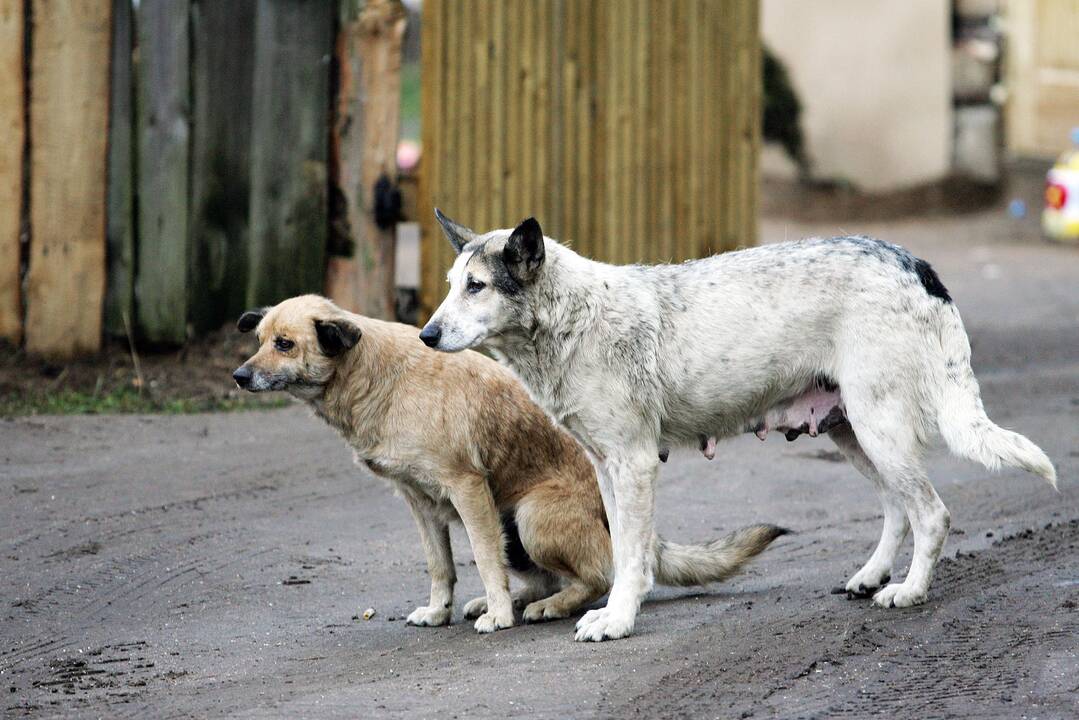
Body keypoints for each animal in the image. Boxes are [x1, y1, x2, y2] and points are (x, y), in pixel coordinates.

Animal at [231, 295, 785, 634]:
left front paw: (497, 615)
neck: (375, 375)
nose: (238, 376)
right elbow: (441, 565)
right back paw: (521, 599)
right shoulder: (421, 504)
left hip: (530, 518)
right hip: (510, 524)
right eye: (258, 341)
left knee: (599, 577)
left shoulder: (466, 488)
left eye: (285, 344)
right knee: (546, 576)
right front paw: (441, 610)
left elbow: (483, 560)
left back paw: (542, 607)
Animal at [418, 209, 1053, 643]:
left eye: (477, 286)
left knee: (931, 514)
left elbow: (632, 557)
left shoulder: (634, 464)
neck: (572, 319)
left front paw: (618, 618)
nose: (425, 335)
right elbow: (623, 550)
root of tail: (914, 265)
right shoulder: (606, 469)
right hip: (857, 436)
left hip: (880, 432)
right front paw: (615, 606)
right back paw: (872, 576)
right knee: (899, 509)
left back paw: (910, 591)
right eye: (451, 285)